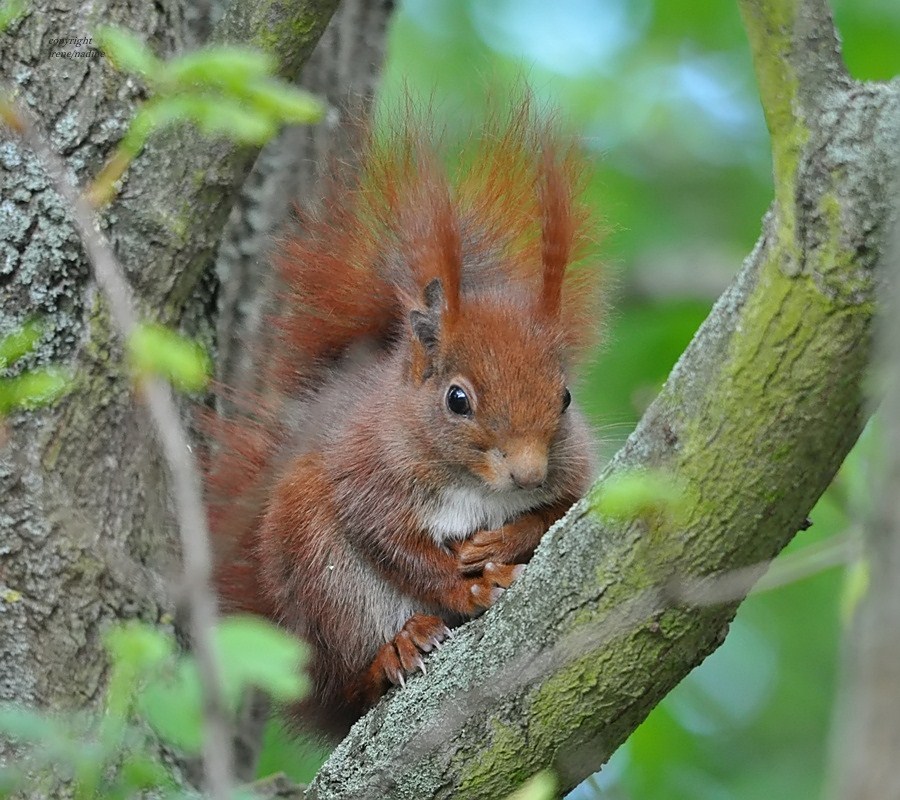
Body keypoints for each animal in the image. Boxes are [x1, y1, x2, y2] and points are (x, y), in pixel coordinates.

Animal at [207, 101, 600, 736]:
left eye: (564, 398)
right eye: (457, 400)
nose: (527, 473)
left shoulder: (573, 473)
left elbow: (556, 513)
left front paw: (502, 541)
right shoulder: (367, 473)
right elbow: (397, 547)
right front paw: (468, 586)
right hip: (324, 575)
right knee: (358, 676)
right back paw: (397, 648)